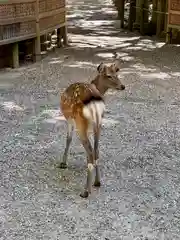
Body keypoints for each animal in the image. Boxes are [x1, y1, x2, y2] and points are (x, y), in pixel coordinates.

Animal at [59, 61, 125, 198]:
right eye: (109, 75)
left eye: (117, 74)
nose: (123, 86)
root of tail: (94, 104)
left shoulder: (69, 120)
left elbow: (68, 139)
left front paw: (63, 163)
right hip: (98, 123)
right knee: (96, 150)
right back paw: (97, 182)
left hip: (81, 123)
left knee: (90, 151)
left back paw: (85, 191)